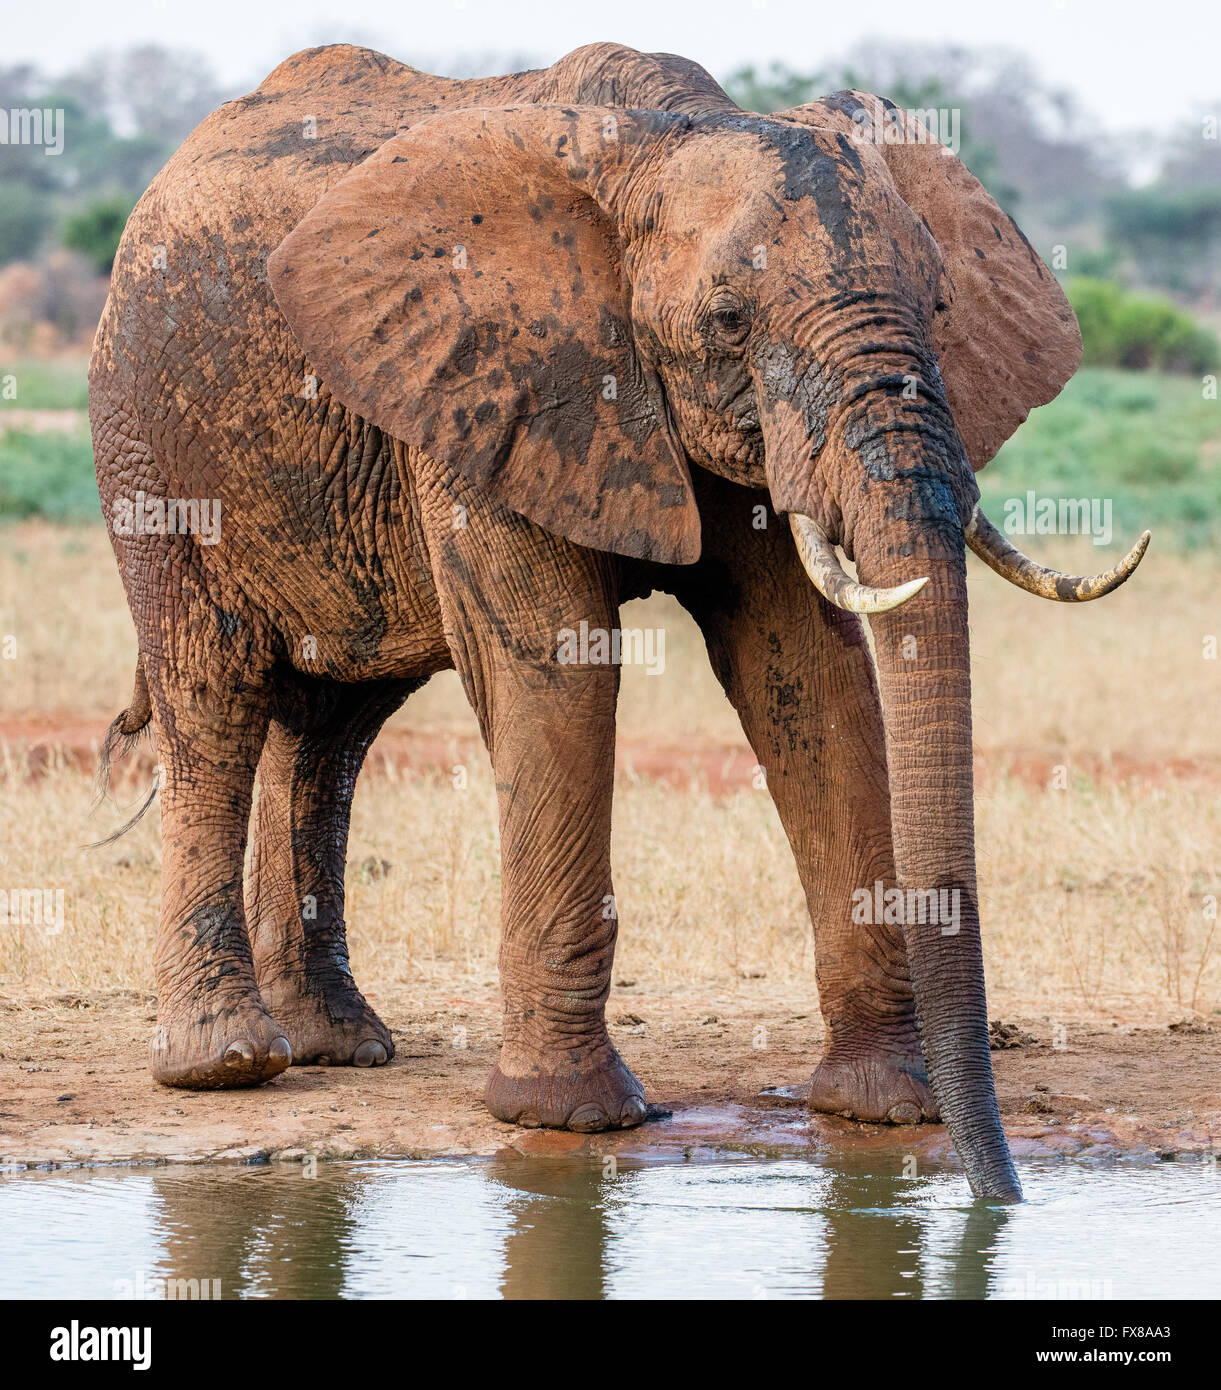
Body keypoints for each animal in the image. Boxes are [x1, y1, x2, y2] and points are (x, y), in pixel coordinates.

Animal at [93, 38, 1145, 1200]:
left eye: (941, 305)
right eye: (728, 320)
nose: (998, 1197)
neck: (652, 143)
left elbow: (804, 673)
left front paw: (878, 1106)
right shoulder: (487, 388)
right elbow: (560, 669)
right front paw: (571, 1118)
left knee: (334, 724)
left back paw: (341, 1046)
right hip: (149, 442)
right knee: (216, 695)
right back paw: (227, 1064)